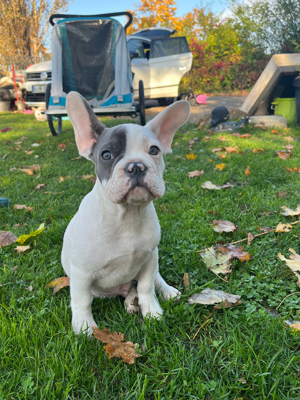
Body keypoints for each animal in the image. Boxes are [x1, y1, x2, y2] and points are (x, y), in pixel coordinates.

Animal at [61, 91, 190, 334]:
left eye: (154, 150)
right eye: (106, 155)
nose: (136, 166)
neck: (127, 216)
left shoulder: (149, 258)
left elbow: (147, 286)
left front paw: (152, 311)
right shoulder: (82, 274)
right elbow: (82, 301)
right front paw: (85, 327)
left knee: (153, 280)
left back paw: (166, 292)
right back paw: (130, 301)